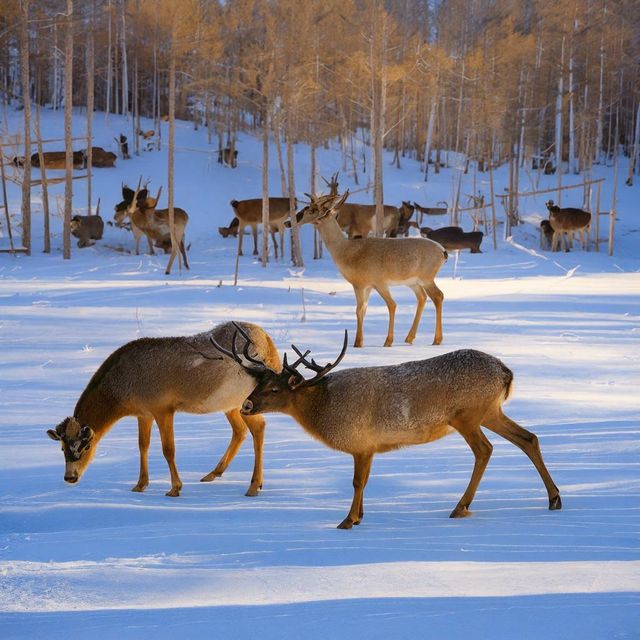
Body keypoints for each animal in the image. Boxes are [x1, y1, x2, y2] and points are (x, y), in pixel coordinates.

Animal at [46, 322, 282, 498]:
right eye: (62, 448)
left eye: (86, 446)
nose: (70, 477)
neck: (120, 386)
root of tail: (270, 344)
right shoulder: (143, 413)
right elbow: (143, 445)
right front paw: (140, 484)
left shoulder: (163, 409)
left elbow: (168, 449)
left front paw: (175, 488)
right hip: (230, 405)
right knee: (240, 431)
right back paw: (214, 473)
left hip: (244, 400)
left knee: (258, 427)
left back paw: (254, 485)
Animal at [212, 324, 564, 528]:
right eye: (258, 384)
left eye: (275, 390)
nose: (246, 405)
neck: (324, 409)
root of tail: (506, 373)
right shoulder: (369, 447)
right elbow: (365, 482)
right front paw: (359, 516)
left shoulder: (360, 441)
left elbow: (357, 482)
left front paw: (348, 520)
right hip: (490, 411)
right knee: (528, 438)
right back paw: (554, 498)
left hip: (466, 414)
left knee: (485, 449)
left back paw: (460, 506)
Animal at [288, 190, 444, 348]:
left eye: (311, 209)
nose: (289, 222)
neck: (344, 251)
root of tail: (443, 252)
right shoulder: (367, 285)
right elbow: (363, 310)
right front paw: (359, 342)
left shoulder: (370, 283)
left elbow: (384, 306)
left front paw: (375, 342)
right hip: (413, 282)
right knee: (423, 297)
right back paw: (410, 338)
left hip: (426, 278)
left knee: (438, 296)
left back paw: (436, 339)